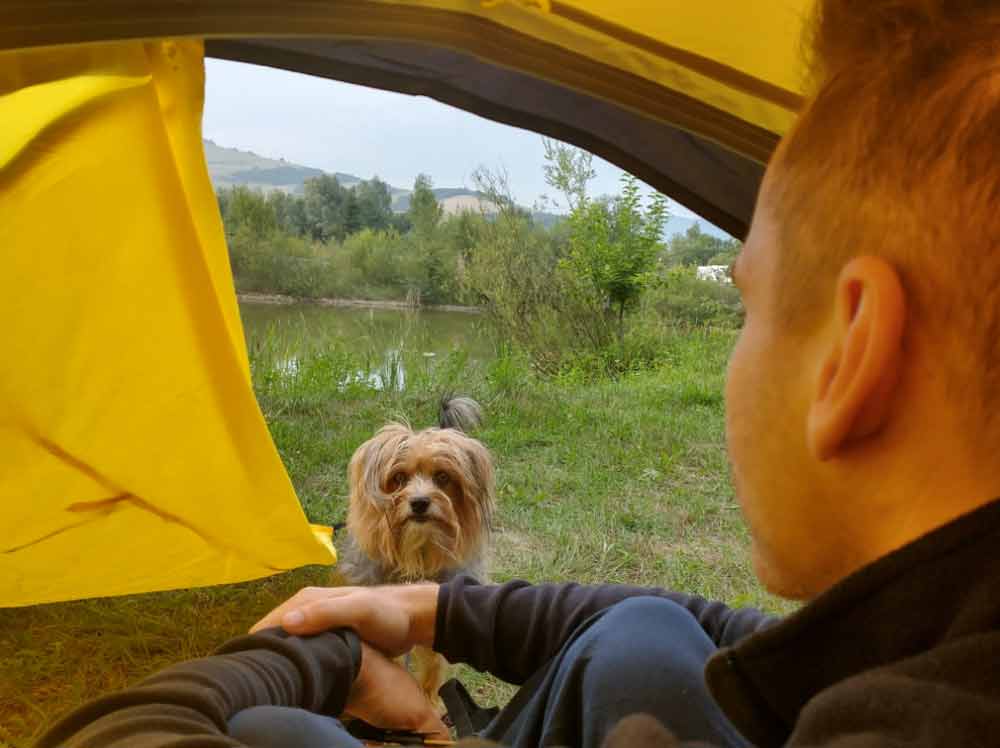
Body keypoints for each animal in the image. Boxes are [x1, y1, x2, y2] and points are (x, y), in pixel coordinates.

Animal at [336, 398, 496, 708]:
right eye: (398, 478)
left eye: (442, 477)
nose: (420, 502)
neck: (418, 555)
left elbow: (432, 673)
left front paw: (429, 703)